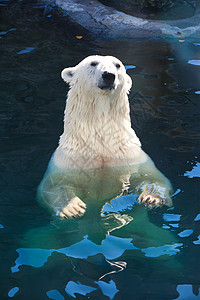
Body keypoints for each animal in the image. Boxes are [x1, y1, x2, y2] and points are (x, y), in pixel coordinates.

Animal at [38, 54, 173, 218]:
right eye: (93, 63)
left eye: (117, 65)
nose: (108, 75)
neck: (101, 144)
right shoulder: (69, 161)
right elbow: (52, 186)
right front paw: (72, 208)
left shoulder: (130, 157)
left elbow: (152, 177)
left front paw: (151, 197)